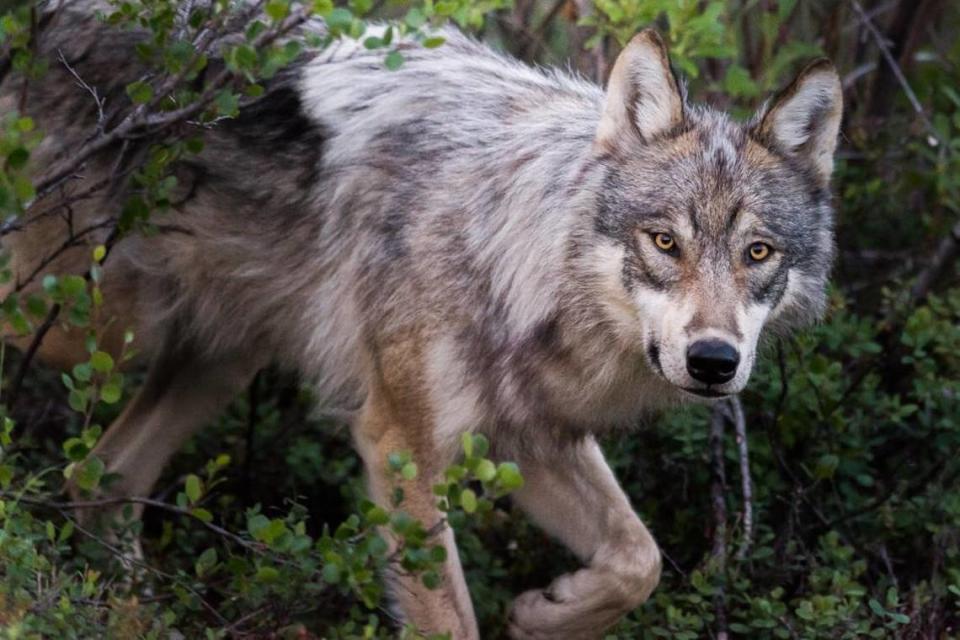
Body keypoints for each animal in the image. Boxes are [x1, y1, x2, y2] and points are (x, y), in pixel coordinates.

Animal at [0, 3, 840, 636]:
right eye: (665, 242)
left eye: (758, 252)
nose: (713, 361)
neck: (507, 247)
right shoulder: (401, 443)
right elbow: (451, 619)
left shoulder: (530, 436)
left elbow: (641, 560)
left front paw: (545, 614)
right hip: (93, 328)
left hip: (219, 358)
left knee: (100, 474)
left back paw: (133, 614)